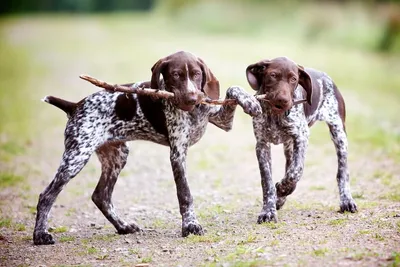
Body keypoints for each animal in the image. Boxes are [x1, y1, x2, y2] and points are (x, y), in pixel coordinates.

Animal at [34, 51, 262, 246]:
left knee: (101, 196)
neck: (193, 111)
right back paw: (40, 235)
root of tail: (75, 106)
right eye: (176, 75)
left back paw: (123, 226)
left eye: (197, 74)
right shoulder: (178, 153)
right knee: (47, 196)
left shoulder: (222, 120)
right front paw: (190, 226)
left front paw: (250, 101)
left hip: (117, 156)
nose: (191, 98)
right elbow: (185, 194)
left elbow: (233, 88)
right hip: (77, 156)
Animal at [245, 57, 358, 224]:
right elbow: (267, 182)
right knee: (288, 166)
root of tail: (325, 76)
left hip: (339, 134)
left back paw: (347, 201)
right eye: (273, 75)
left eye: (294, 79)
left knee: (343, 172)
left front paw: (282, 189)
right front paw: (269, 210)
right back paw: (281, 198)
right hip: (289, 146)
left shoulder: (301, 137)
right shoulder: (262, 145)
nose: (282, 100)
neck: (275, 115)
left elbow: (295, 171)